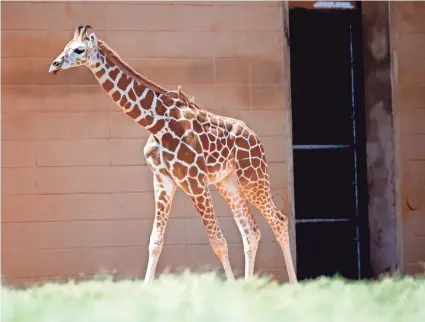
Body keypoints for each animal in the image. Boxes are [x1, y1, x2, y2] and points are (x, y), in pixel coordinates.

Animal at [48, 23, 296, 284]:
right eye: (65, 46)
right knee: (251, 231)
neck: (156, 124)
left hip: (253, 178)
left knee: (278, 222)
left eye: (79, 49)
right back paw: (248, 285)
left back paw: (292, 283)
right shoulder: (163, 181)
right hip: (228, 182)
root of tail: (256, 138)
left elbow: (218, 242)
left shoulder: (194, 182)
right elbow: (155, 242)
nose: (54, 65)